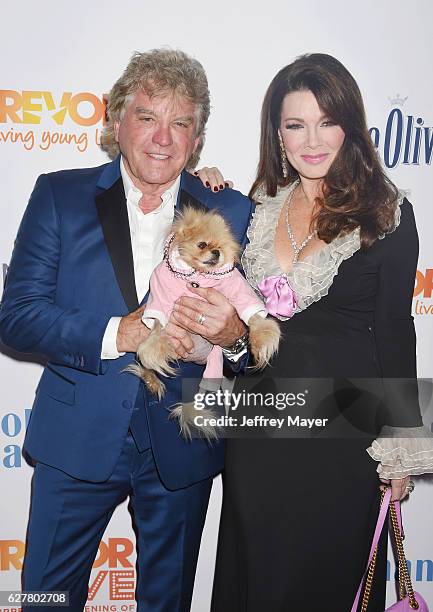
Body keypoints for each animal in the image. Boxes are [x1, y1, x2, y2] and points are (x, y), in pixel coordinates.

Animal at [126, 208, 278, 438]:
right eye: (202, 245)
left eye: (219, 247)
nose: (216, 252)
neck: (197, 275)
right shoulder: (161, 294)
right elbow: (158, 325)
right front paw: (152, 348)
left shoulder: (235, 288)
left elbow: (252, 315)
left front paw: (263, 337)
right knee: (149, 369)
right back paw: (152, 380)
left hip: (214, 361)